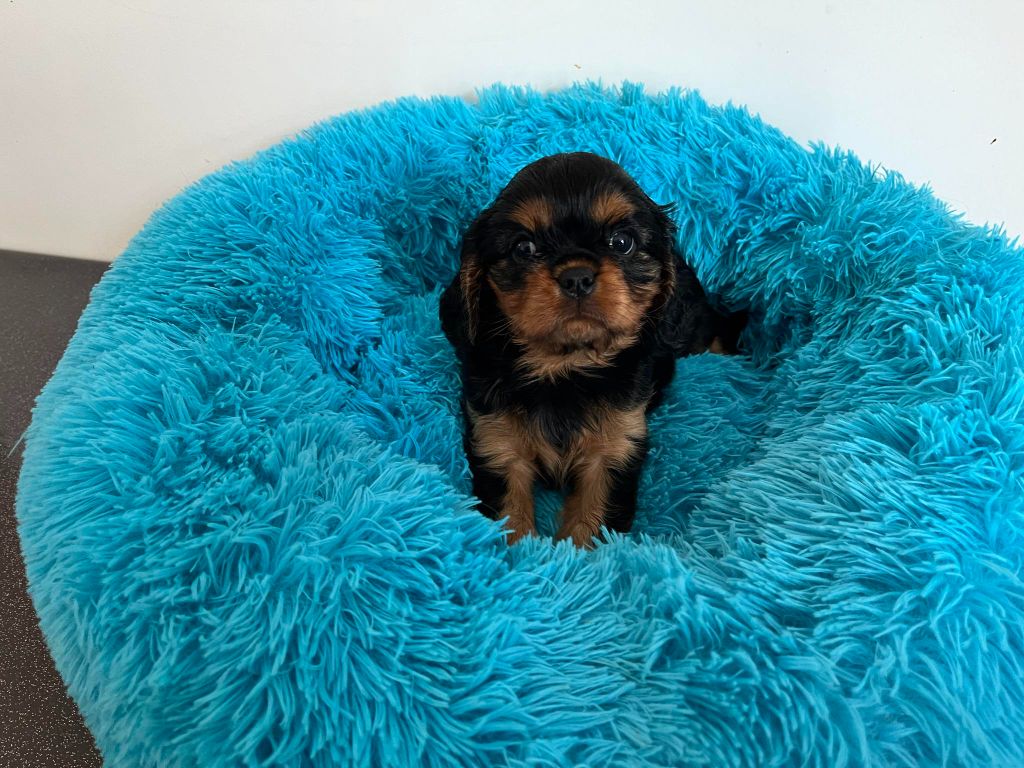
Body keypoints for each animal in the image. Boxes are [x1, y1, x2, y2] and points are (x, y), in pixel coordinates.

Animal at [440, 152, 743, 547]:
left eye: (622, 242)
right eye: (524, 248)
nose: (576, 277)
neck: (565, 367)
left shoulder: (614, 448)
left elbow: (591, 519)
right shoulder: (496, 440)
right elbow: (510, 517)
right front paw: (519, 554)